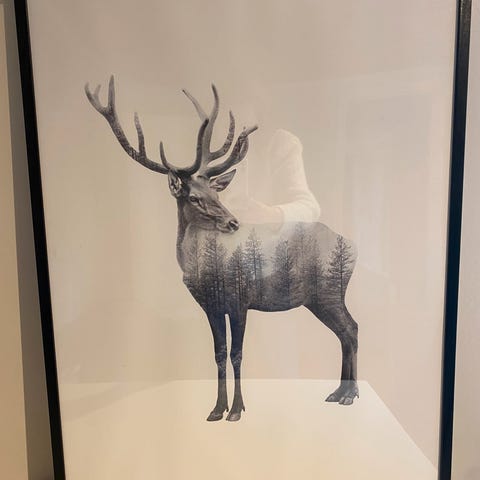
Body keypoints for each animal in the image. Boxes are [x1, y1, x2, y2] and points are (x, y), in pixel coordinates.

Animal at [85, 76, 359, 422]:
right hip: (319, 298)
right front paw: (217, 409)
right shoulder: (210, 306)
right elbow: (218, 353)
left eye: (216, 194)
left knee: (351, 329)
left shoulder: (239, 299)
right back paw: (338, 393)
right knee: (345, 333)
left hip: (329, 290)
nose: (232, 222)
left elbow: (237, 353)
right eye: (194, 197)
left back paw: (349, 394)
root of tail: (354, 245)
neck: (203, 273)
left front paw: (237, 410)